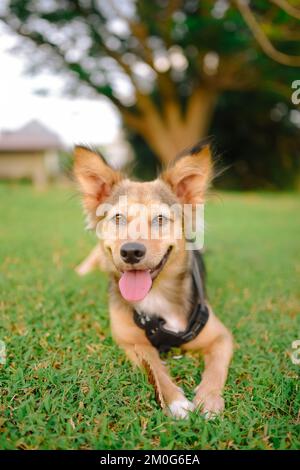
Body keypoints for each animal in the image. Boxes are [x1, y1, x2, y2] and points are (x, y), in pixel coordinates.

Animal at [74, 142, 233, 418]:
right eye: (118, 218)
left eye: (160, 219)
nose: (131, 252)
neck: (156, 294)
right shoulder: (131, 342)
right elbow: (156, 368)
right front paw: (175, 401)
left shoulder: (222, 336)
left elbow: (216, 369)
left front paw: (210, 401)